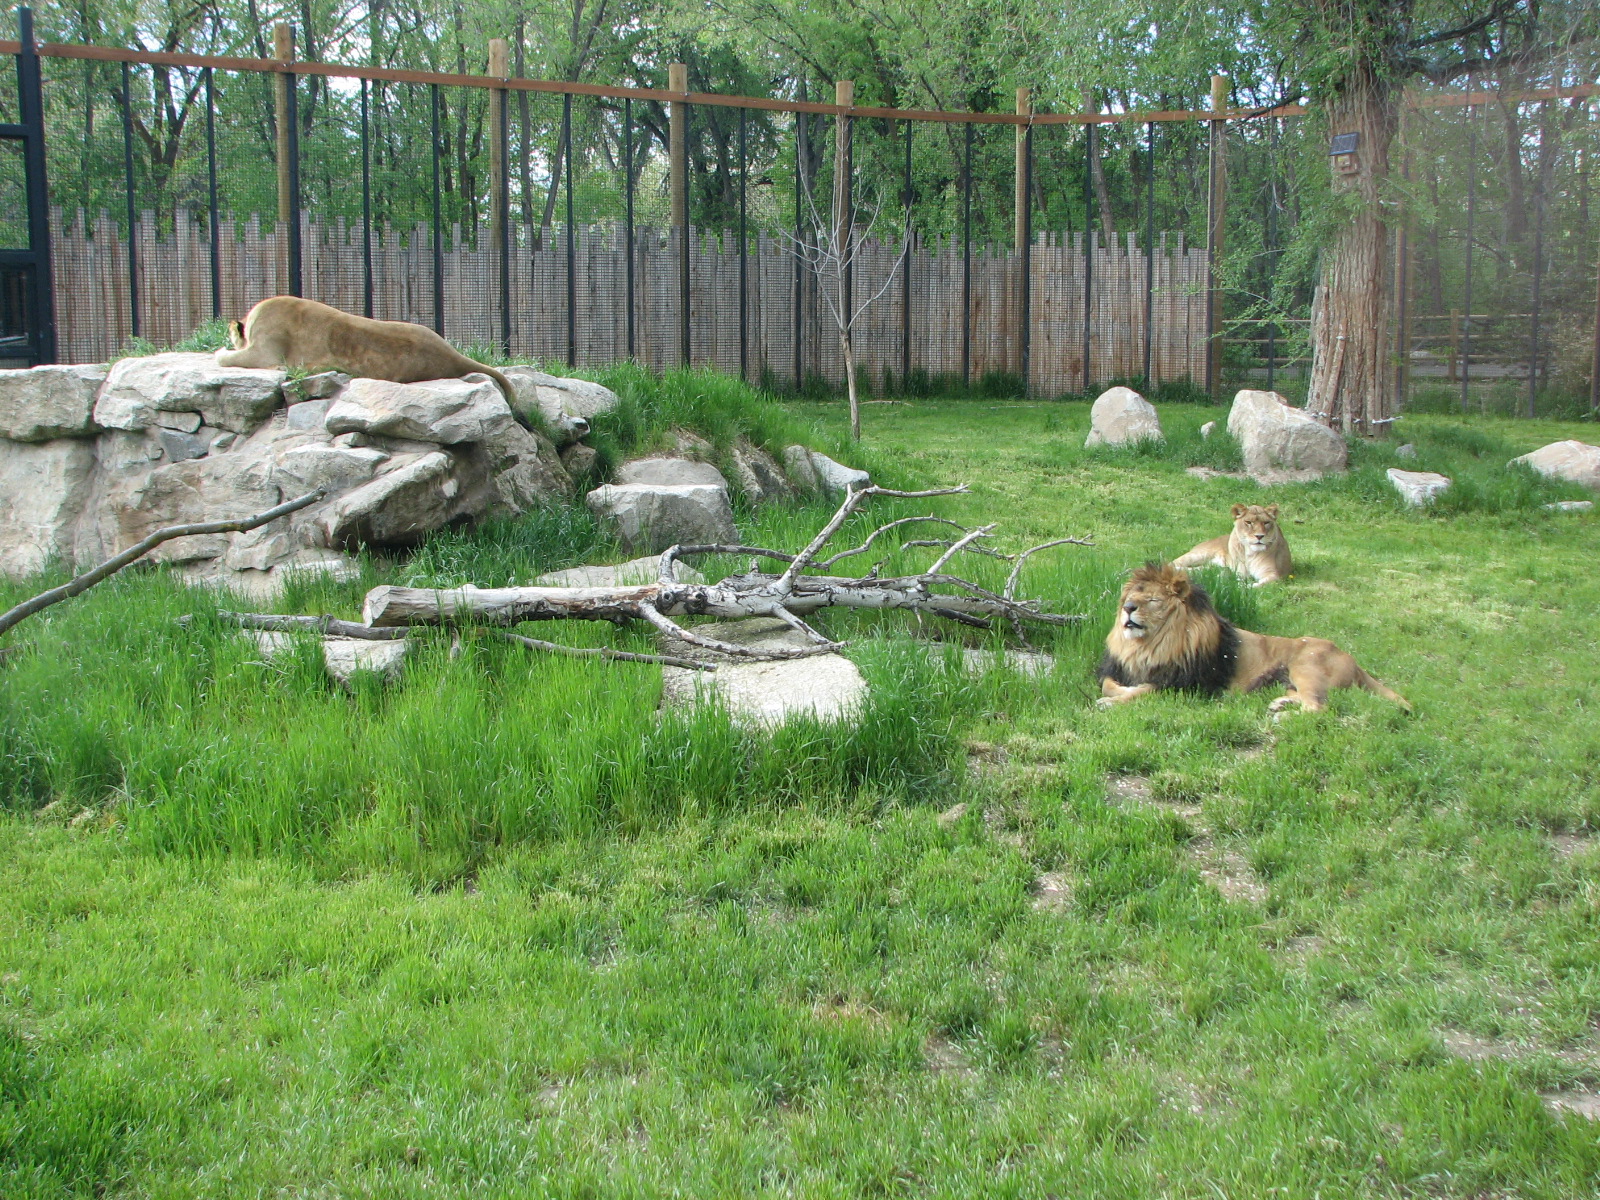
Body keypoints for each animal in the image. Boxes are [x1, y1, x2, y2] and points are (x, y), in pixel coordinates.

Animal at [1096, 562, 1410, 714]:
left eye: (1152, 600)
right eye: (1129, 597)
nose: (1128, 608)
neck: (1150, 644)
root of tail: (1353, 660)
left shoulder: (1189, 686)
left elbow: (1144, 691)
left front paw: (1112, 702)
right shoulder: (1117, 669)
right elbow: (1110, 684)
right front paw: (1116, 693)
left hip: (1306, 666)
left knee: (1319, 707)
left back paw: (1284, 715)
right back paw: (1280, 704)